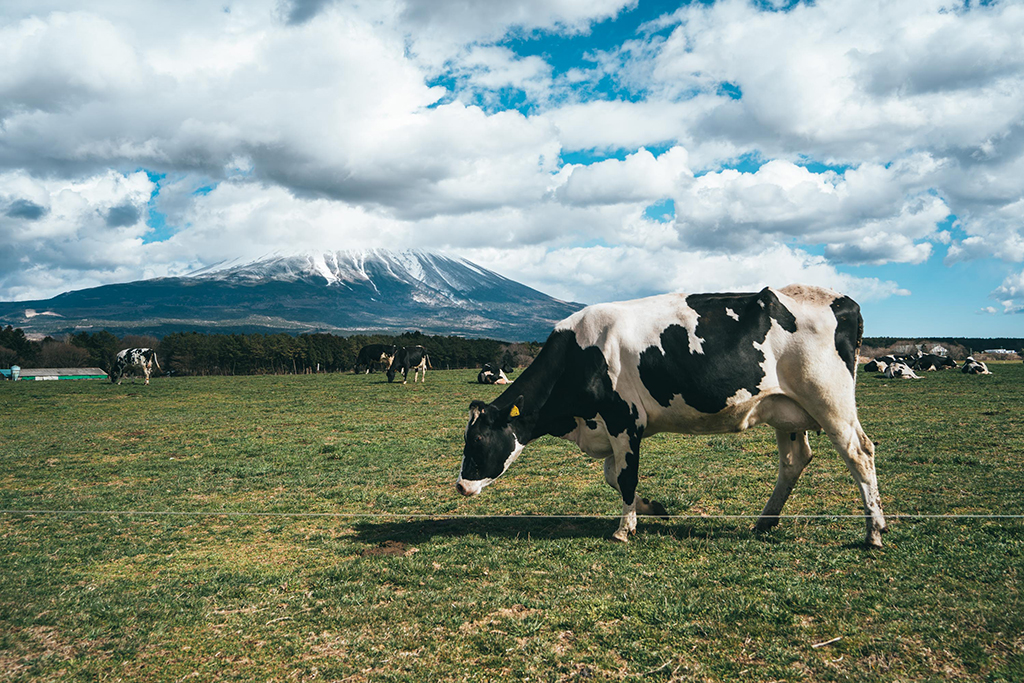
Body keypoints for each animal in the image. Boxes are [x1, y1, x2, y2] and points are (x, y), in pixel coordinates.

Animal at [456, 286, 888, 548]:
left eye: (476, 440)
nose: (460, 485)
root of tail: (841, 300)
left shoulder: (624, 420)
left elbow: (624, 477)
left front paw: (624, 529)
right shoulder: (615, 429)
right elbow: (613, 476)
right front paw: (653, 508)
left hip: (830, 401)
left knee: (860, 453)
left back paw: (874, 531)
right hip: (788, 411)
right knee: (794, 460)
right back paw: (765, 520)